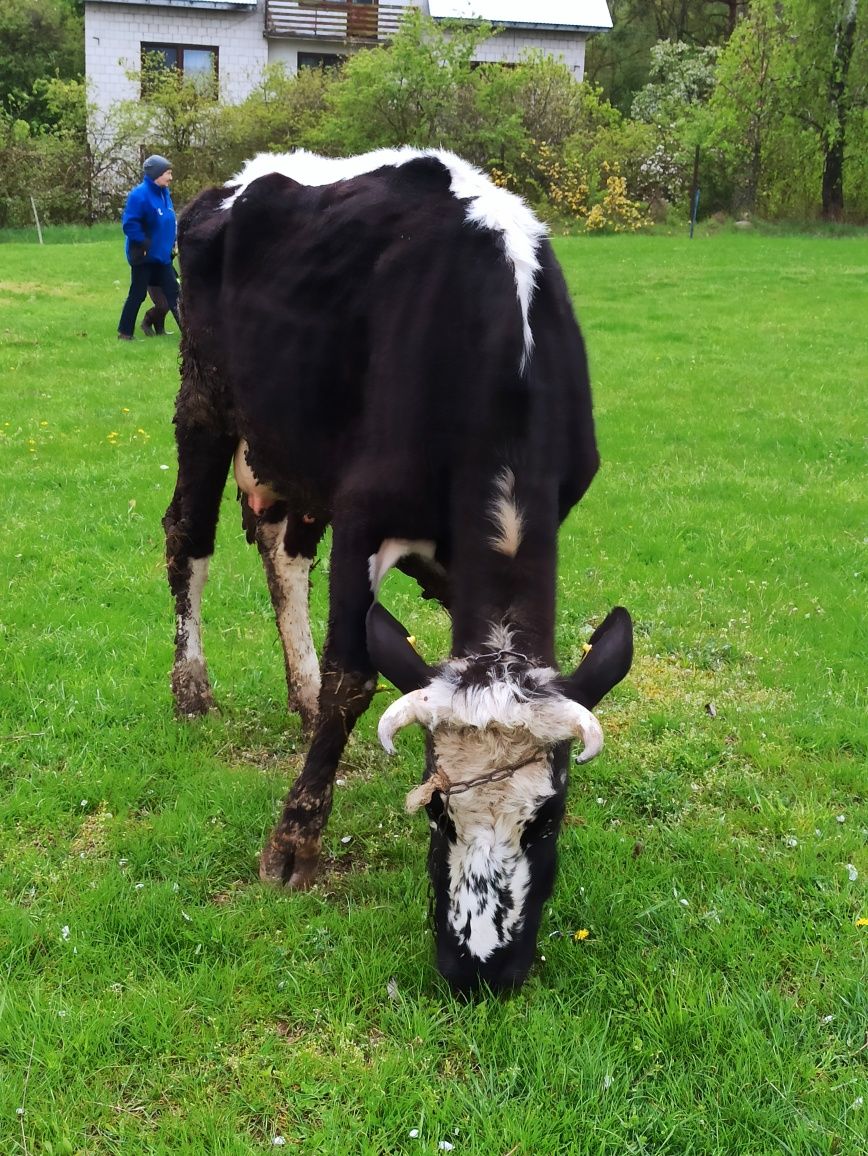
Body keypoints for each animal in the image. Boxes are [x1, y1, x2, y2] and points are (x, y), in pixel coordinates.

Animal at [164, 146, 637, 994]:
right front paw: (295, 840)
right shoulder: (363, 513)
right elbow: (355, 676)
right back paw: (192, 686)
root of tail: (248, 173)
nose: (478, 969)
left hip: (296, 450)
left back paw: (298, 690)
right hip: (206, 397)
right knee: (188, 535)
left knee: (284, 552)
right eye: (439, 813)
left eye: (548, 818)